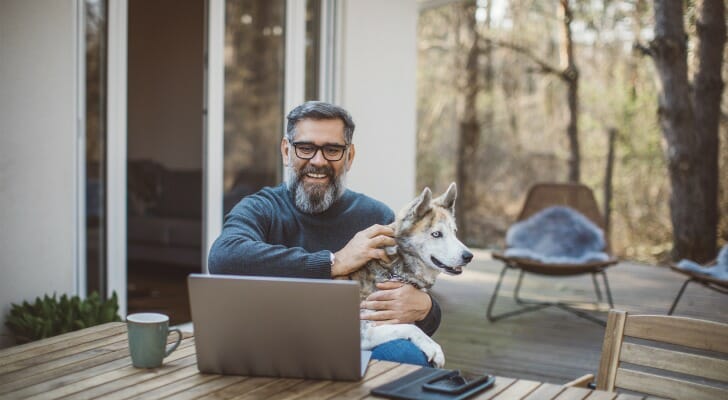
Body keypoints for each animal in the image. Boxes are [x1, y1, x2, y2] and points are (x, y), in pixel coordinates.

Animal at [346, 183, 472, 368]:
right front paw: (433, 348)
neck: (394, 269)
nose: (469, 256)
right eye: (436, 234)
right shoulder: (362, 331)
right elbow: (410, 327)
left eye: (454, 232)